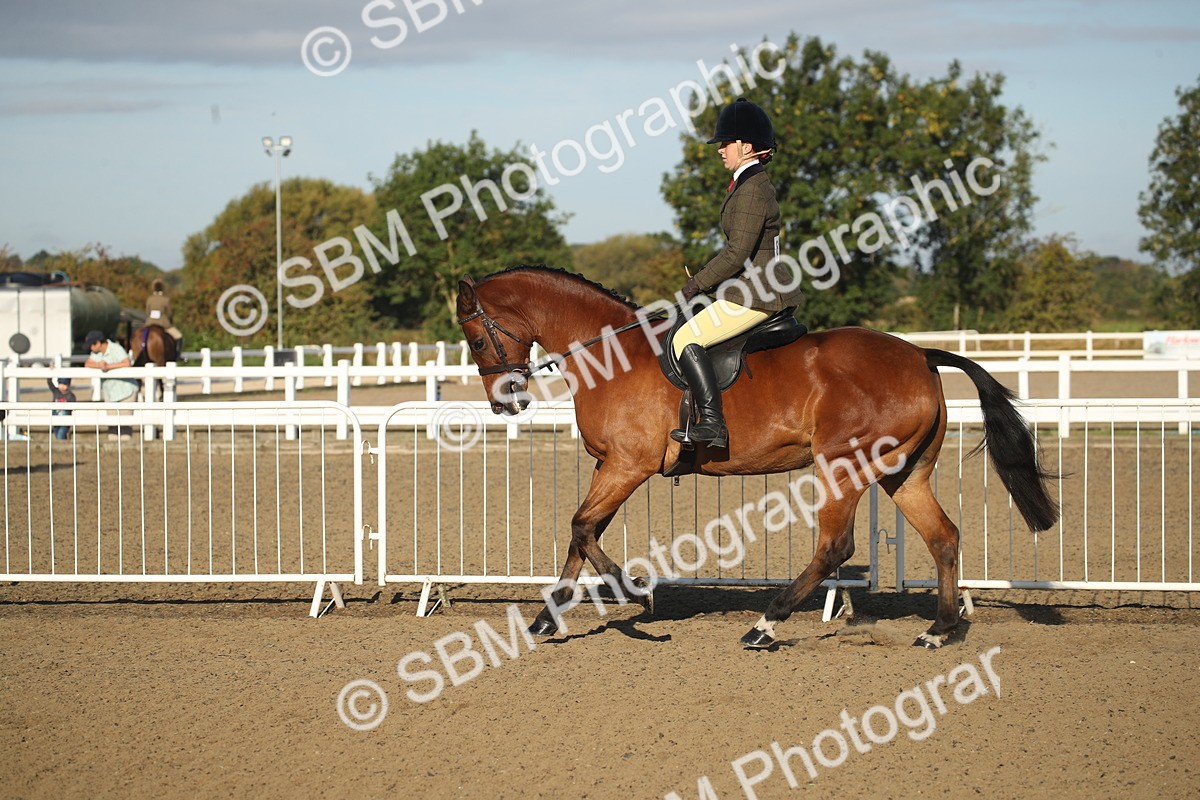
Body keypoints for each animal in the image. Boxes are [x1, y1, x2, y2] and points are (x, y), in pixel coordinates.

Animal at [456, 266, 1058, 649]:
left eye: (478, 341)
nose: (505, 402)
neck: (611, 355)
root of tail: (920, 355)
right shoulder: (612, 466)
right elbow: (582, 533)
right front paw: (546, 619)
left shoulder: (629, 466)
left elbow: (581, 527)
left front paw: (635, 593)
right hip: (903, 474)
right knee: (943, 537)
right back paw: (937, 630)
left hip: (843, 466)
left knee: (835, 547)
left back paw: (765, 626)